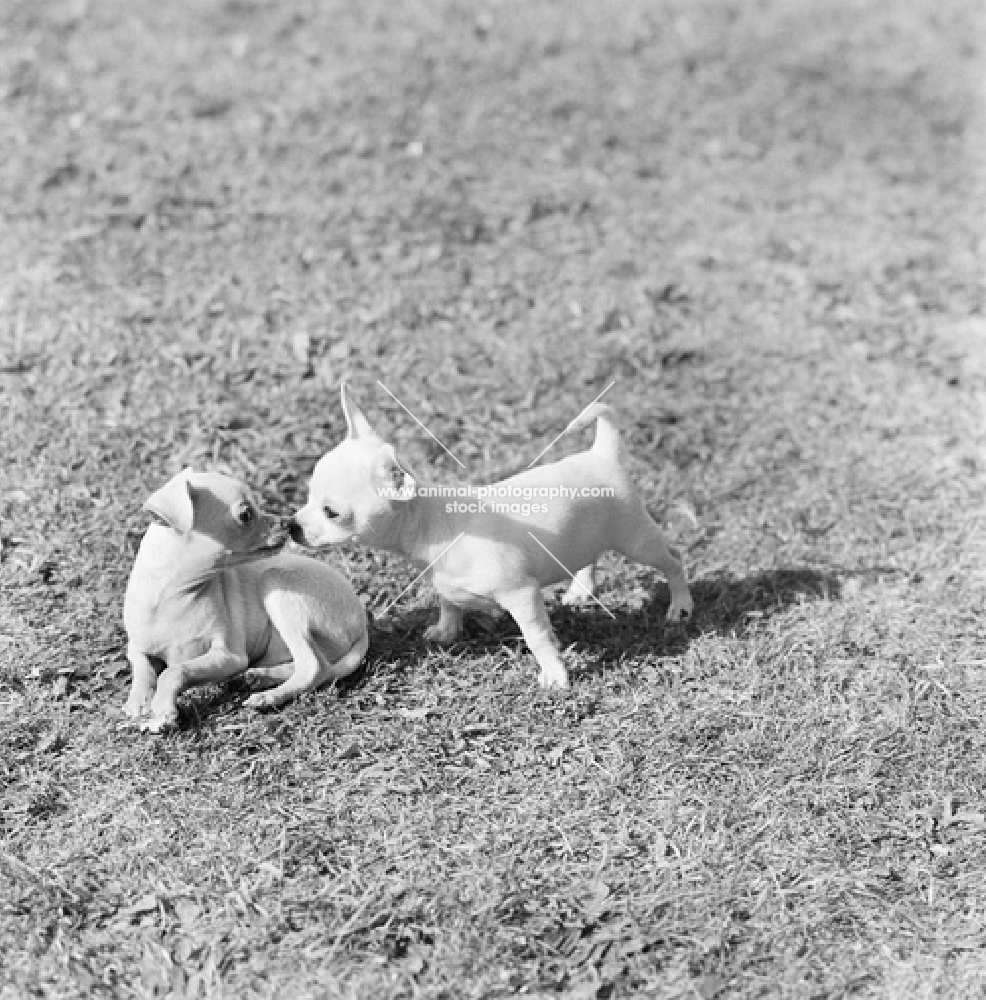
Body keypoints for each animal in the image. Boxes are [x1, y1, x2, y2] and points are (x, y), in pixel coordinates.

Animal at [122, 464, 368, 732]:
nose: (289, 522)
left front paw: (162, 710)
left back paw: (268, 697)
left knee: (315, 667)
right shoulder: (136, 648)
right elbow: (143, 668)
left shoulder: (230, 656)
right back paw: (260, 677)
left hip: (275, 583)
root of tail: (361, 621)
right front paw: (138, 702)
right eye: (246, 515)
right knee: (313, 664)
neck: (174, 595)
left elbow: (174, 671)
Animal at [286, 386, 692, 692]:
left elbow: (538, 638)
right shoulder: (447, 582)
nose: (291, 527)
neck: (431, 526)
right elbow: (449, 602)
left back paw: (681, 607)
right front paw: (446, 631)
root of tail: (602, 454)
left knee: (673, 561)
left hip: (636, 540)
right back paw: (581, 589)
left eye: (331, 512)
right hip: (591, 533)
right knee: (589, 556)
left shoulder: (522, 595)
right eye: (306, 496)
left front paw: (555, 675)